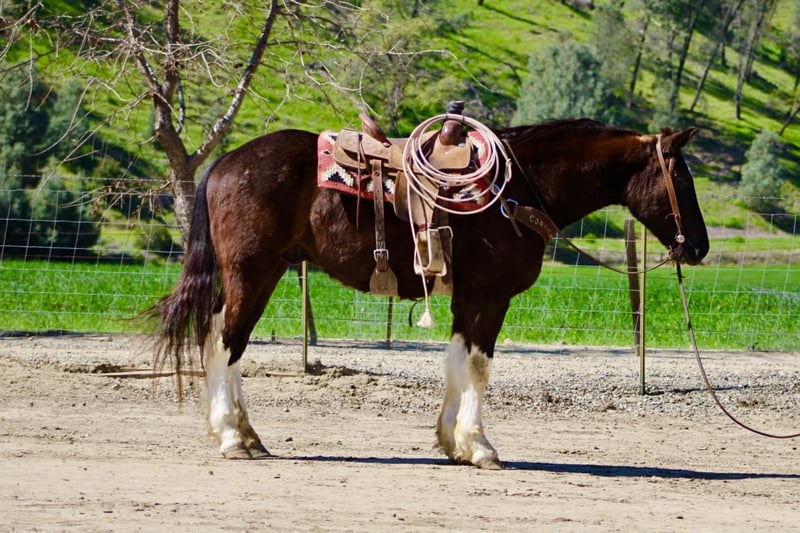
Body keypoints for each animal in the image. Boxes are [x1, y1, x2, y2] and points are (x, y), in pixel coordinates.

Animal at [150, 118, 709, 468]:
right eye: (682, 179)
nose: (700, 246)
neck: (514, 191)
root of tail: (225, 164)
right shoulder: (489, 296)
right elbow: (479, 366)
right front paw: (479, 446)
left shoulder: (470, 298)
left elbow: (458, 361)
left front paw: (452, 441)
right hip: (251, 272)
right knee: (224, 344)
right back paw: (230, 437)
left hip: (263, 274)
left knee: (228, 342)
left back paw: (248, 435)